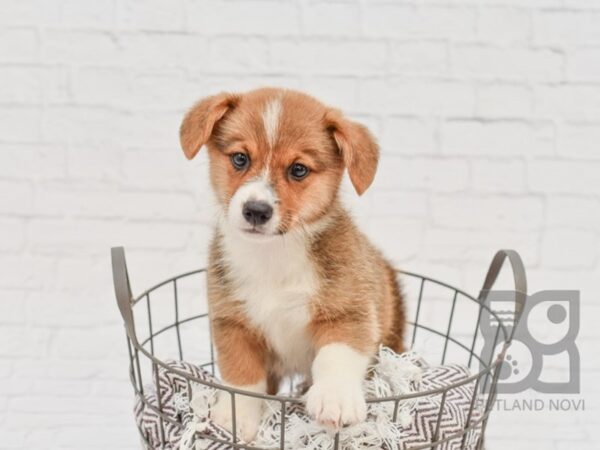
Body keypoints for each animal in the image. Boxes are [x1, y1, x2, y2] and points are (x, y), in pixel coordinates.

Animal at [180, 86, 406, 442]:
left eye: (298, 169)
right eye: (240, 158)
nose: (256, 211)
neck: (273, 255)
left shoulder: (349, 313)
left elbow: (337, 355)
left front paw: (335, 400)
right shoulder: (233, 323)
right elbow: (242, 376)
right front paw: (234, 417)